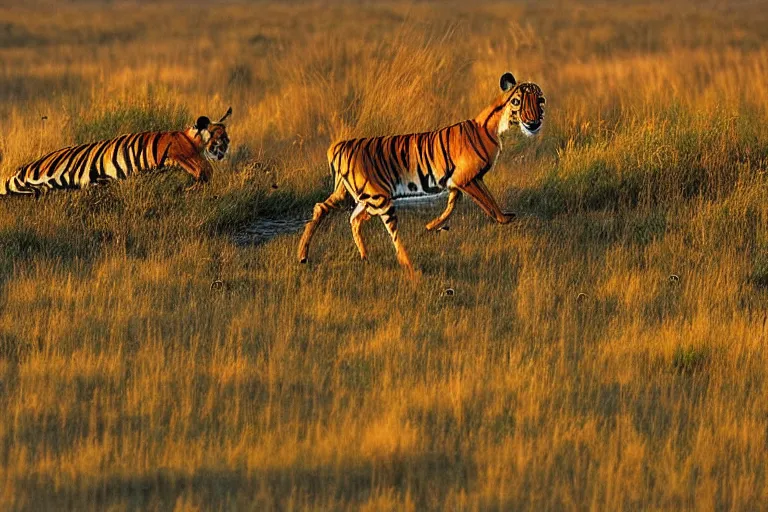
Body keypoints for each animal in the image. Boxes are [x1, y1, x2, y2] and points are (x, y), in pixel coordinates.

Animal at [1, 107, 232, 197]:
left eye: (226, 138)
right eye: (220, 138)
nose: (227, 147)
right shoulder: (183, 154)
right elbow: (205, 169)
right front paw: (191, 188)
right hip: (36, 178)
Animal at [296, 71, 544, 276]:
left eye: (540, 101)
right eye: (517, 102)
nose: (534, 122)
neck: (496, 126)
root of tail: (339, 146)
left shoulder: (460, 181)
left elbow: (453, 205)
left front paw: (432, 225)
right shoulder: (467, 179)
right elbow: (488, 202)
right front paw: (505, 219)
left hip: (353, 194)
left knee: (331, 211)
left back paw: (313, 256)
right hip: (378, 199)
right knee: (390, 233)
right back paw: (410, 266)